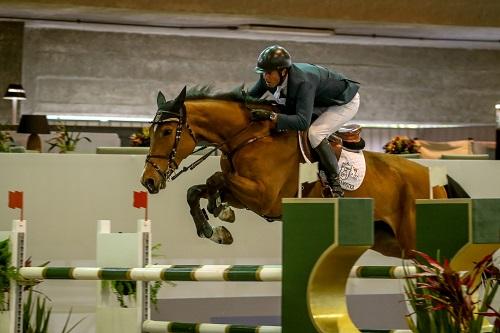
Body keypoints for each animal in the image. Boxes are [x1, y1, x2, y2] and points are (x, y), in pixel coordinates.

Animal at [141, 85, 446, 256]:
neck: (248, 137)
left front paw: (218, 213)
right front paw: (213, 226)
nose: (148, 181)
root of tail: (436, 183)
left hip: (413, 240)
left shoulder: (266, 197)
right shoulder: (245, 196)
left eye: (166, 131)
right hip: (388, 242)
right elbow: (197, 190)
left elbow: (216, 178)